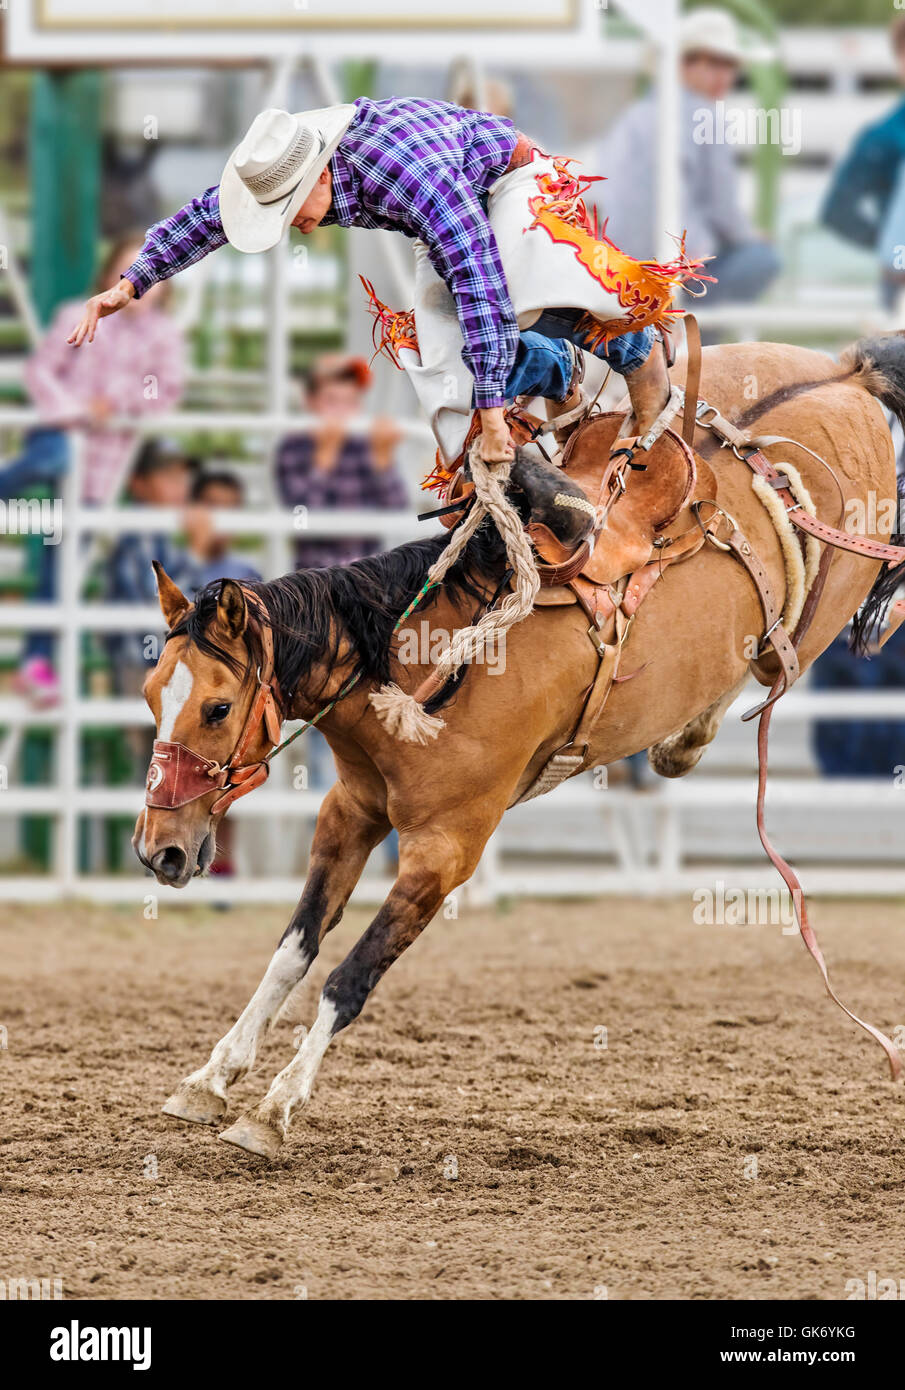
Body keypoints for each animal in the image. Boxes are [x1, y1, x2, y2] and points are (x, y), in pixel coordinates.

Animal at [134, 335, 905, 1159]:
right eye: (152, 695)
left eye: (216, 707)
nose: (157, 851)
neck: (422, 663)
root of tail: (844, 375)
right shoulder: (348, 813)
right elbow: (292, 952)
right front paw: (209, 1079)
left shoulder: (446, 851)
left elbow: (349, 978)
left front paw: (273, 1109)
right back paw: (683, 743)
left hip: (825, 600)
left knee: (791, 648)